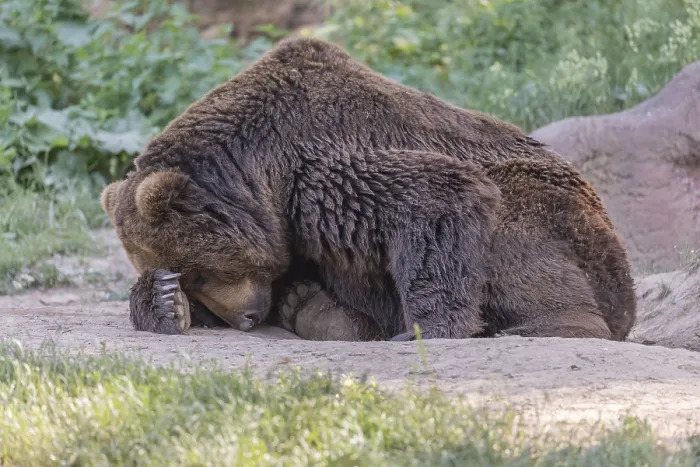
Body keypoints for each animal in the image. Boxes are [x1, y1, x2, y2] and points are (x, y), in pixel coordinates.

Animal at [100, 36, 637, 342]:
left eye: (201, 270)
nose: (246, 318)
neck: (259, 176)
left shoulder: (318, 171)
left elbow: (436, 199)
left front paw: (429, 329)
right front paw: (164, 302)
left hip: (559, 216)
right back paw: (314, 310)